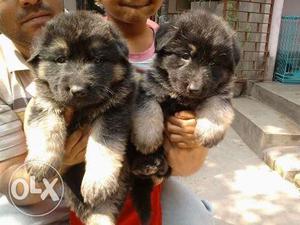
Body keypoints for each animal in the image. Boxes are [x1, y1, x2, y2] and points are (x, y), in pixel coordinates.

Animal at [24, 11, 134, 225]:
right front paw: (42, 162)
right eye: (60, 59)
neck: (81, 109)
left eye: (98, 60)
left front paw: (97, 181)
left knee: (101, 207)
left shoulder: (113, 112)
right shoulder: (44, 102)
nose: (78, 90)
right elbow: (47, 128)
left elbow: (103, 144)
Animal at [130, 9, 240, 223]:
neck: (182, 98)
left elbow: (217, 107)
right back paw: (146, 163)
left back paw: (158, 166)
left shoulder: (221, 94)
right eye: (185, 56)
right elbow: (148, 110)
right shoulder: (150, 88)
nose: (195, 88)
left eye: (214, 62)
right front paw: (148, 138)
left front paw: (210, 131)